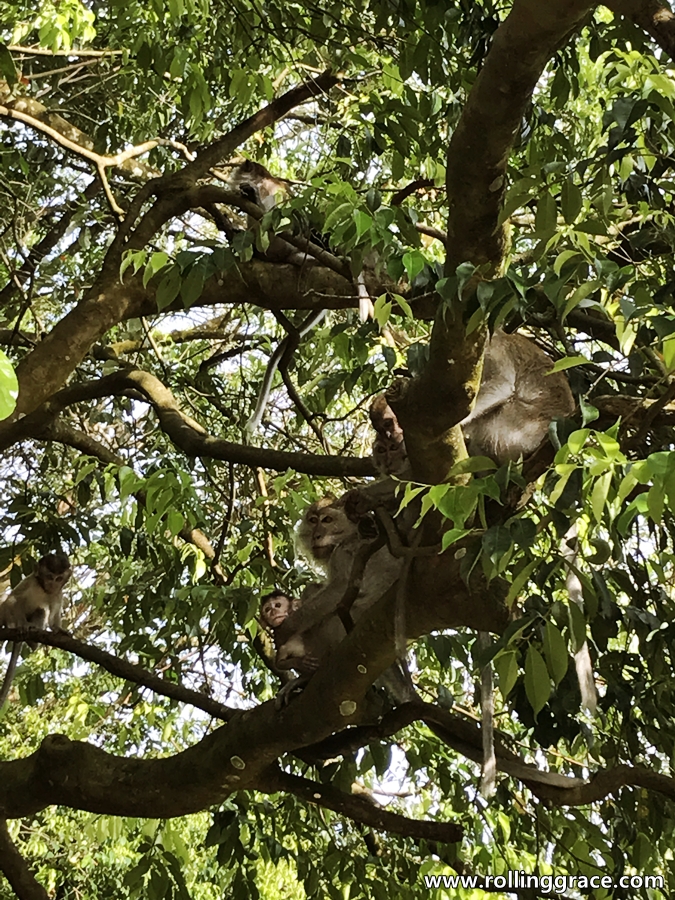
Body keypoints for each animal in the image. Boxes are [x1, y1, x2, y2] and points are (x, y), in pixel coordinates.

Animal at [0, 552, 72, 708]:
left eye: (59, 578)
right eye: (50, 576)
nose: (53, 584)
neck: (43, 588)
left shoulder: (57, 594)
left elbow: (52, 619)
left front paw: (59, 630)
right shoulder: (29, 581)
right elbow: (14, 599)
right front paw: (22, 625)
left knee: (41, 610)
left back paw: (33, 641)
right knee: (7, 599)